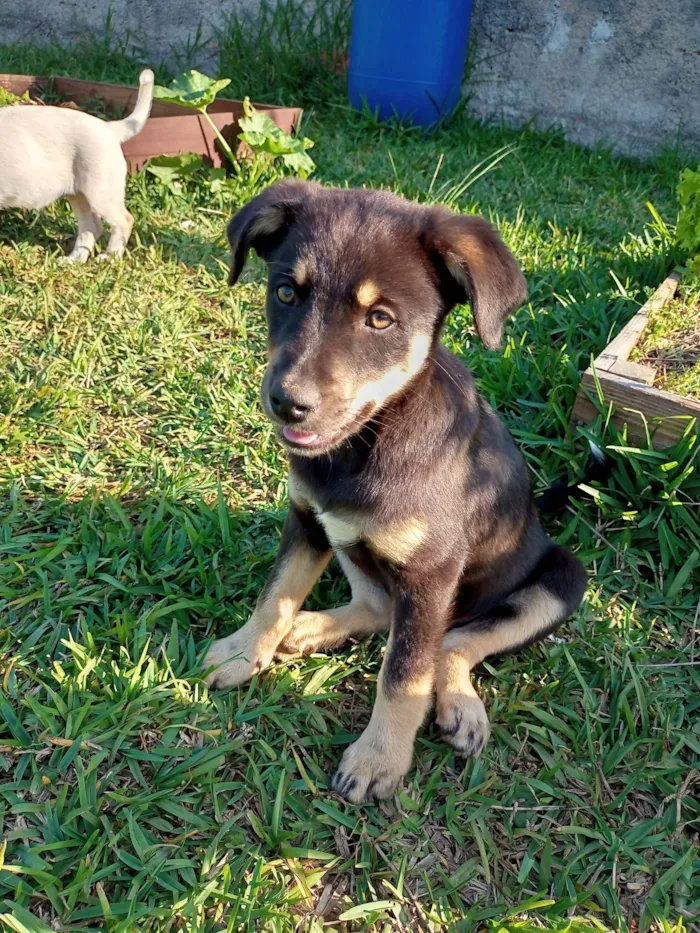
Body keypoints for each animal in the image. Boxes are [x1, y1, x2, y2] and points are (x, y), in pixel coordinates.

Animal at [0, 68, 154, 262]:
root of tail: (109, 128)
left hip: (100, 193)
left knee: (124, 221)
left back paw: (110, 257)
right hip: (79, 194)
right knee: (92, 227)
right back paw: (74, 260)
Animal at [201, 180, 584, 800]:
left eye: (380, 320)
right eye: (285, 292)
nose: (287, 403)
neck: (366, 442)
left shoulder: (431, 573)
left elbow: (404, 673)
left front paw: (379, 759)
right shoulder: (308, 520)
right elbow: (276, 595)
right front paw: (244, 650)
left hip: (561, 578)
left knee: (451, 642)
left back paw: (460, 704)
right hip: (349, 542)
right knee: (381, 606)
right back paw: (313, 629)